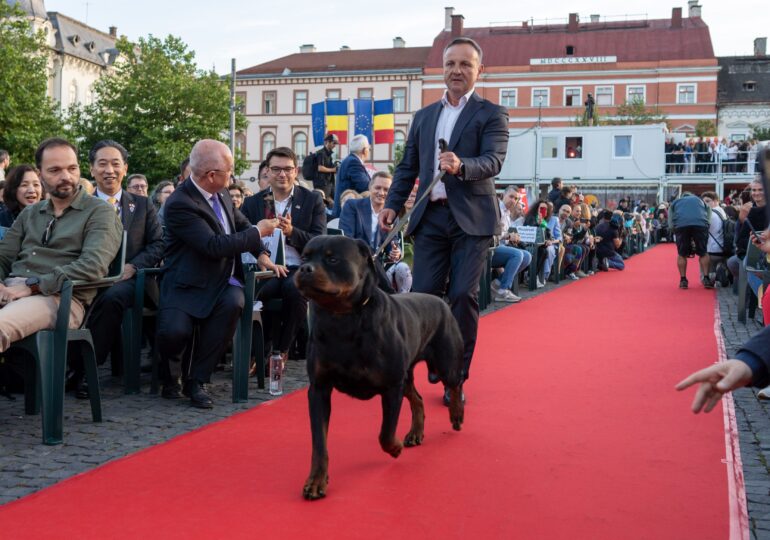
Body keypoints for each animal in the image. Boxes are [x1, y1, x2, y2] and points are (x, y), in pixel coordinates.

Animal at [294, 234, 462, 500]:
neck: (343, 318)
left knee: (455, 384)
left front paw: (395, 447)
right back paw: (416, 432)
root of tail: (440, 300)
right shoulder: (319, 388)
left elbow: (385, 432)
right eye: (304, 257)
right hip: (407, 375)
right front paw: (316, 480)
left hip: (444, 360)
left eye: (332, 259)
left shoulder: (391, 385)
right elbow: (319, 442)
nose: (303, 269)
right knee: (417, 398)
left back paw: (456, 414)